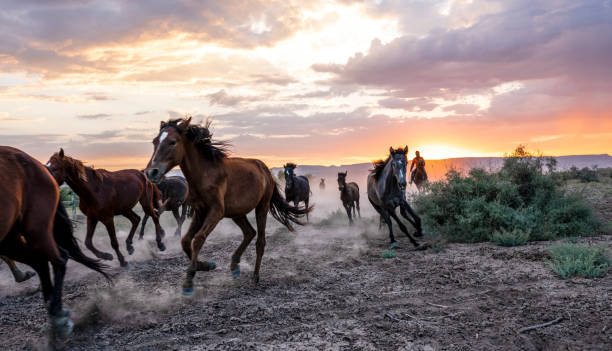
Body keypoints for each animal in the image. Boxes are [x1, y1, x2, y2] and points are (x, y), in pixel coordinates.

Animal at [0, 146, 109, 338]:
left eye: (58, 166)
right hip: (13, 236)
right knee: (40, 260)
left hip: (36, 229)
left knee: (58, 259)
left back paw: (57, 316)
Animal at [143, 119, 310, 296]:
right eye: (155, 141)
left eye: (172, 142)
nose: (151, 172)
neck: (205, 174)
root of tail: (264, 169)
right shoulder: (199, 212)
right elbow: (185, 241)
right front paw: (205, 265)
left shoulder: (216, 212)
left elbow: (198, 239)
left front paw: (189, 281)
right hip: (237, 212)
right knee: (249, 232)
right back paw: (235, 265)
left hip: (261, 208)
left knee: (260, 241)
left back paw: (255, 277)